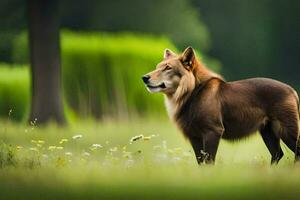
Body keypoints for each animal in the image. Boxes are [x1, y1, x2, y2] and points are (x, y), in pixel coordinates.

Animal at [142, 47, 298, 164]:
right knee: (277, 154)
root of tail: (292, 90)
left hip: (287, 129)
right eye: (157, 67)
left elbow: (209, 161)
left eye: (168, 68)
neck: (193, 93)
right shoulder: (195, 136)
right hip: (268, 131)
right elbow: (201, 162)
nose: (144, 78)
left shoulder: (213, 131)